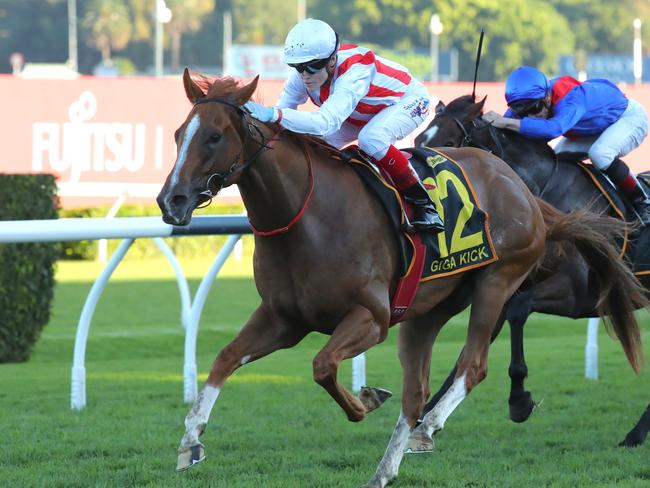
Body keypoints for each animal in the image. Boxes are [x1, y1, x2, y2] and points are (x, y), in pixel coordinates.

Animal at [416, 93, 648, 448]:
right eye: (419, 140)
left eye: (450, 143)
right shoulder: (501, 286)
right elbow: (467, 354)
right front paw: (423, 419)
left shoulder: (579, 295)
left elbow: (519, 311)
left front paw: (519, 401)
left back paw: (635, 434)